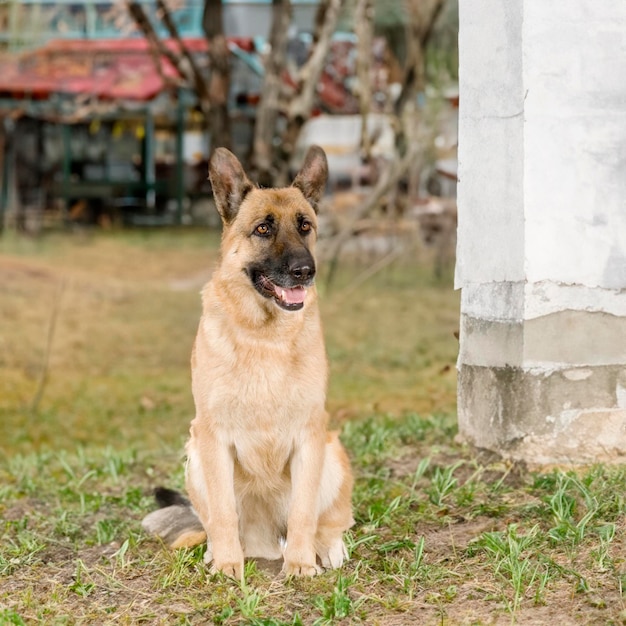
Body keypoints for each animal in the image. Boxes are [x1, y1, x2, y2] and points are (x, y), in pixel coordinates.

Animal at [143, 144, 354, 576]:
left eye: (305, 226)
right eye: (262, 229)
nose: (305, 271)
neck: (264, 338)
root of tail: (265, 543)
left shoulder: (310, 435)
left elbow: (304, 512)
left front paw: (301, 565)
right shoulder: (212, 436)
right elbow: (223, 513)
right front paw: (227, 564)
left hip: (333, 452)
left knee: (331, 518)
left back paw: (326, 548)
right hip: (194, 456)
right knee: (213, 519)